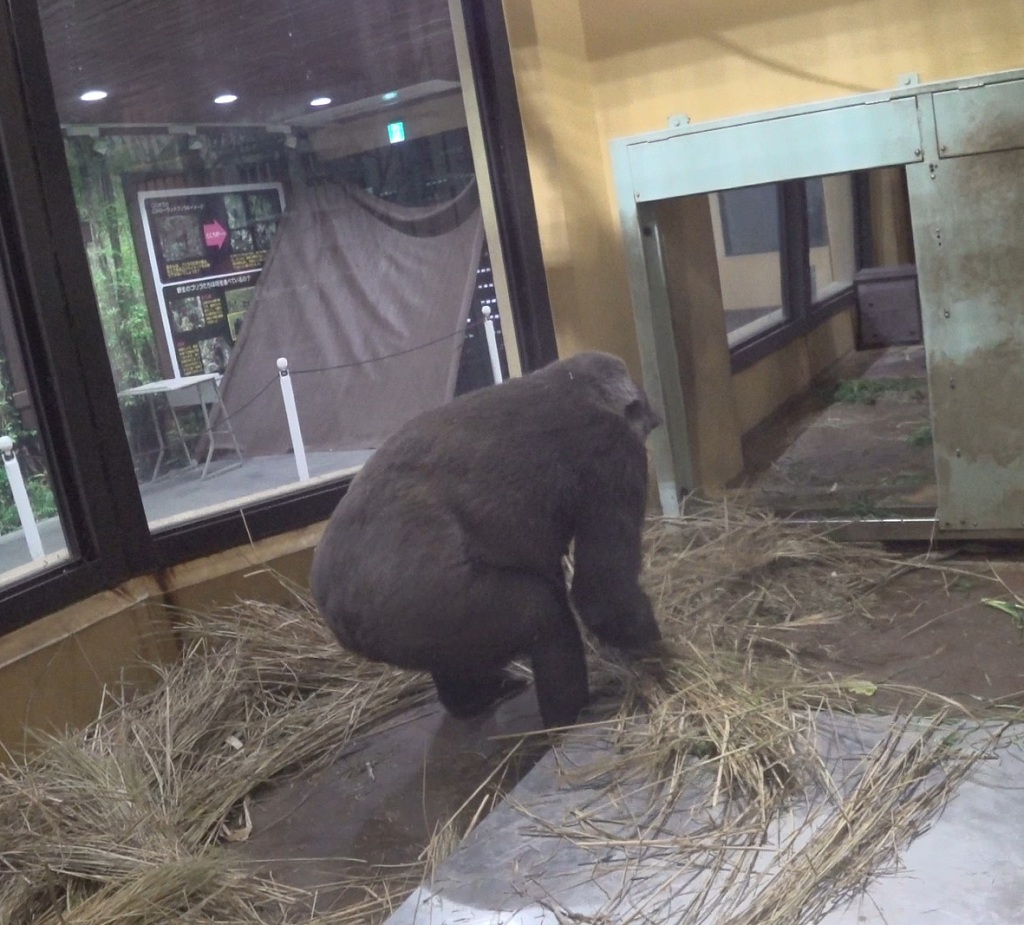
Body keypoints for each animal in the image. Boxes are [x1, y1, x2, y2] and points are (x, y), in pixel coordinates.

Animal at [310, 351, 662, 728]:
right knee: (546, 617)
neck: (576, 385)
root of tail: (336, 611)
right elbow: (602, 595)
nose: (655, 419)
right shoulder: (613, 451)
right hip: (427, 603)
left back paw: (473, 699)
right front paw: (655, 651)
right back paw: (569, 714)